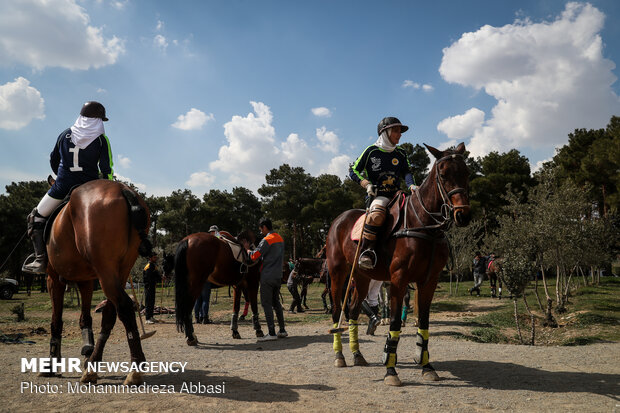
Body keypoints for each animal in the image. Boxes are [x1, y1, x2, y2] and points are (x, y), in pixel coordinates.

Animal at [41, 179, 152, 384]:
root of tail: (123, 189)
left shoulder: (52, 278)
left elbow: (56, 320)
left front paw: (51, 363)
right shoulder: (85, 280)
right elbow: (85, 318)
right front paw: (87, 351)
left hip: (104, 267)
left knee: (124, 307)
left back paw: (134, 369)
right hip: (122, 267)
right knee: (110, 312)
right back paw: (92, 366)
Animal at [326, 142, 468, 386]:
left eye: (466, 173)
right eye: (443, 174)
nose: (463, 215)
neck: (425, 226)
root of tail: (338, 219)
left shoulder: (429, 280)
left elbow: (424, 323)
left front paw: (427, 366)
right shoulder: (398, 279)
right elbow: (393, 323)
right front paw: (391, 371)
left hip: (362, 276)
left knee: (352, 311)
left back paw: (357, 355)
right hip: (338, 272)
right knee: (337, 310)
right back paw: (340, 356)